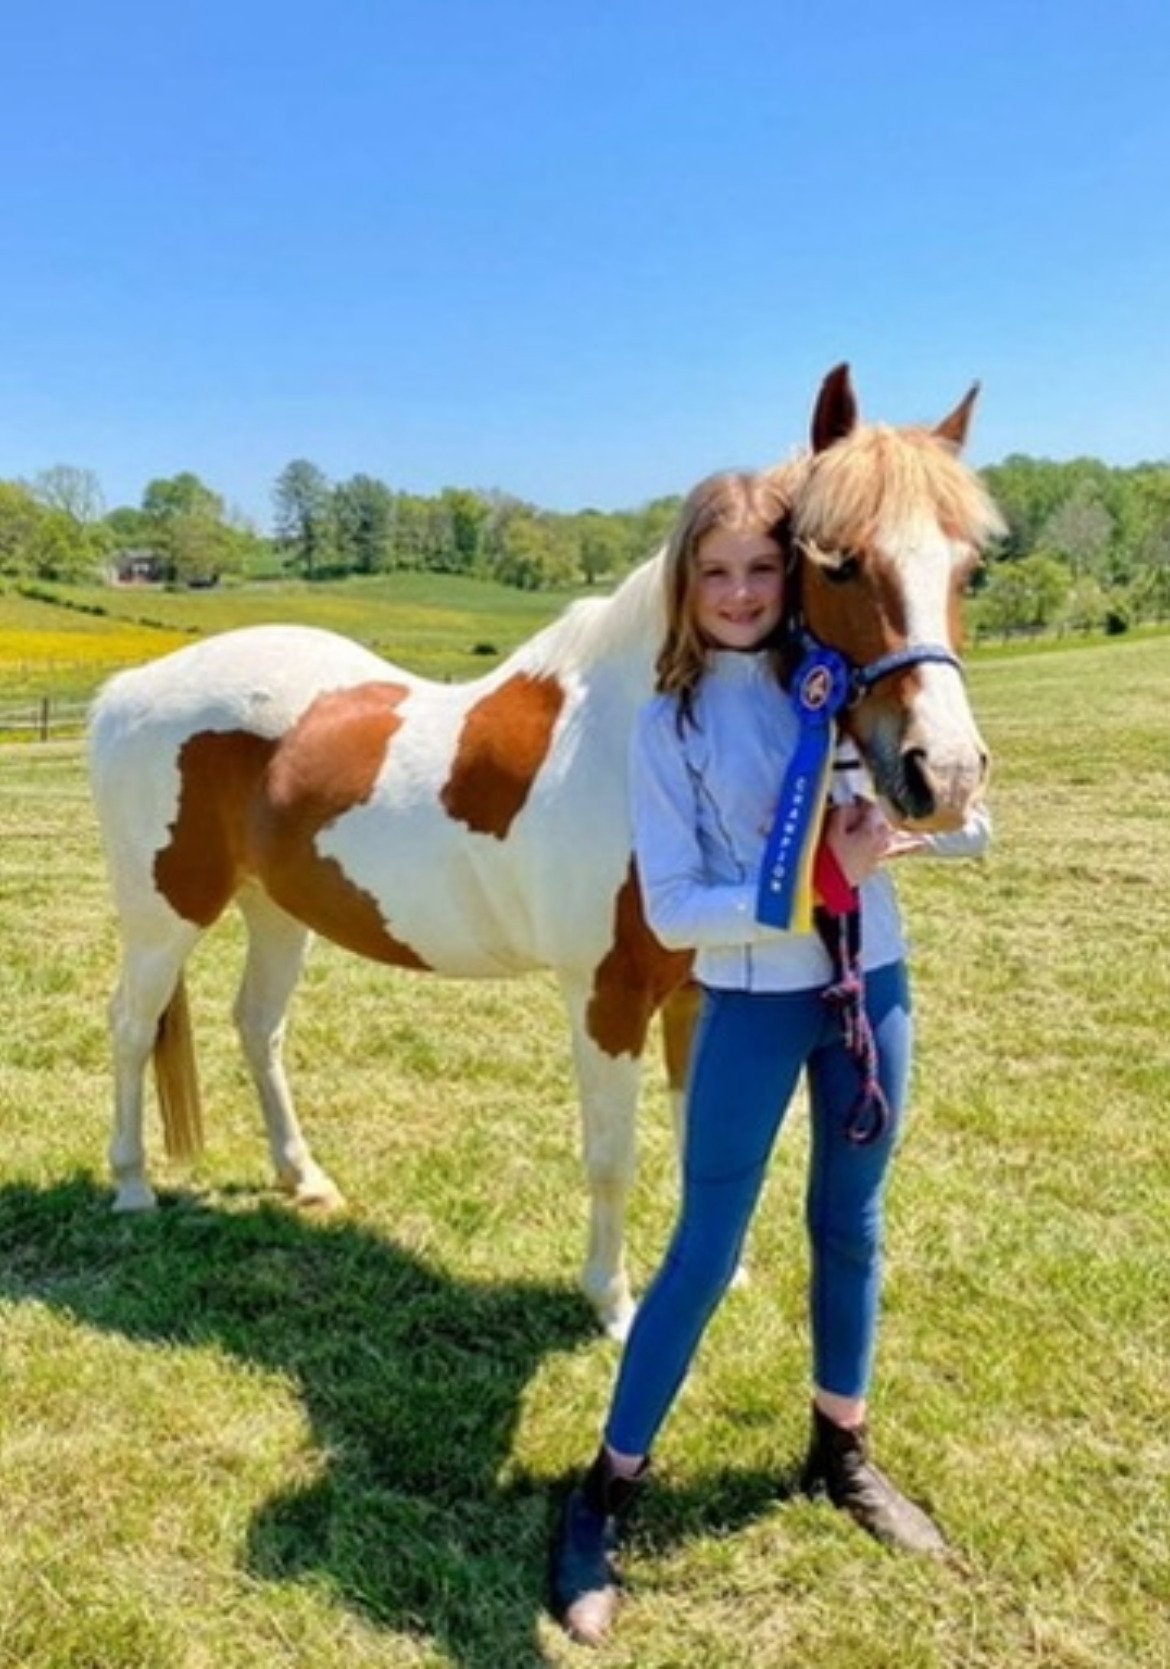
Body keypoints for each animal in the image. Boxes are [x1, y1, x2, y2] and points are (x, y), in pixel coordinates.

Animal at [87, 364, 1005, 1338]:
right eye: (838, 560)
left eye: (967, 566)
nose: (946, 774)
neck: (636, 734)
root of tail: (127, 690)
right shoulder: (605, 995)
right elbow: (612, 1154)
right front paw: (613, 1303)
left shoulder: (694, 993)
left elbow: (702, 1138)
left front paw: (719, 1275)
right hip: (165, 916)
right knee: (131, 1024)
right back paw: (133, 1186)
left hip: (275, 908)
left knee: (257, 1025)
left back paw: (304, 1178)